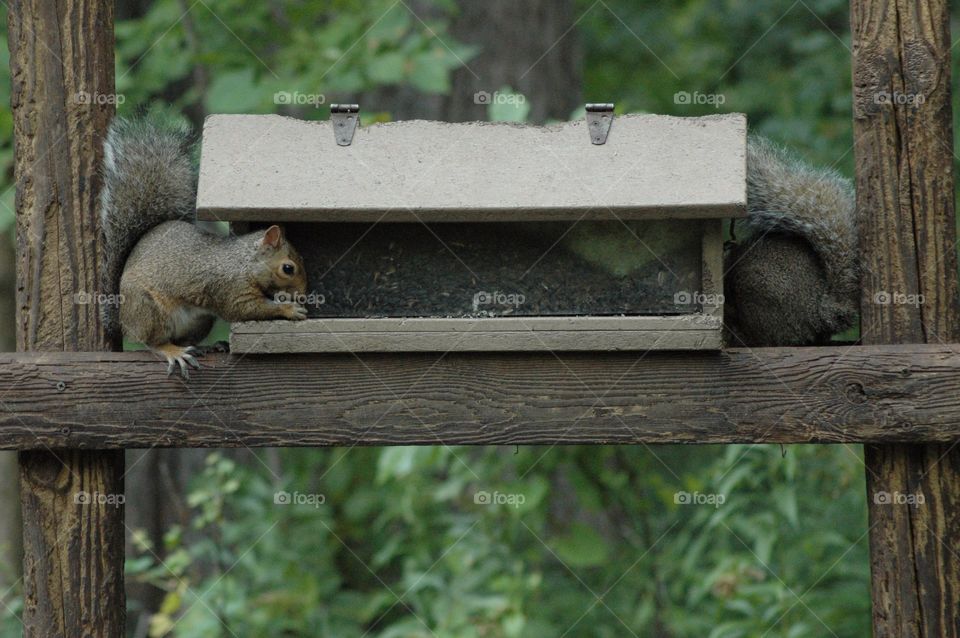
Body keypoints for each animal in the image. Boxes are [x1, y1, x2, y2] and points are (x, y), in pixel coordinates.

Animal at [100, 117, 308, 378]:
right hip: (147, 309)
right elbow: (247, 310)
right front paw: (290, 309)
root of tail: (121, 320)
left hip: (200, 321)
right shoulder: (230, 290)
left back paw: (208, 347)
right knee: (153, 342)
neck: (243, 264)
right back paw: (173, 352)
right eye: (288, 268)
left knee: (184, 339)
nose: (303, 294)